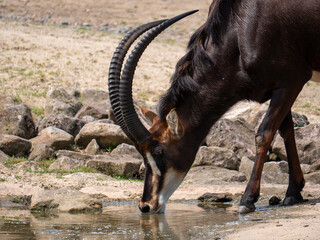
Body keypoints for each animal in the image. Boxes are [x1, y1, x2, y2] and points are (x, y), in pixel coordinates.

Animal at [108, 0, 320, 214]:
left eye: (159, 151)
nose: (146, 205)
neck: (241, 28)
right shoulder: (278, 87)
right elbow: (286, 131)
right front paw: (293, 192)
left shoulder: (292, 81)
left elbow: (264, 134)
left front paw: (247, 200)